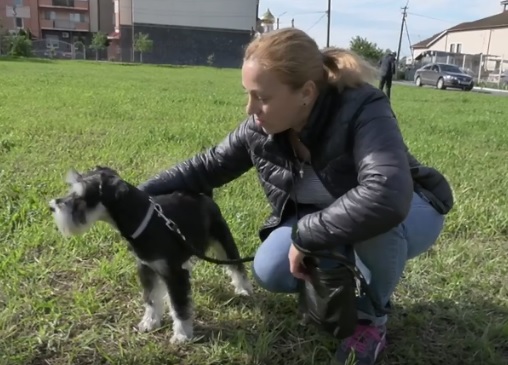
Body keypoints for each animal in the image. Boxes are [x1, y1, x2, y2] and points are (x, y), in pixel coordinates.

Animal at [48, 166, 253, 342]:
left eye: (81, 196)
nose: (52, 206)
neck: (142, 221)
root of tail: (205, 197)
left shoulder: (173, 273)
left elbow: (179, 306)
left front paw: (181, 335)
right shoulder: (146, 267)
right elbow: (151, 298)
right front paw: (149, 322)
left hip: (223, 240)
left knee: (236, 265)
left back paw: (243, 289)